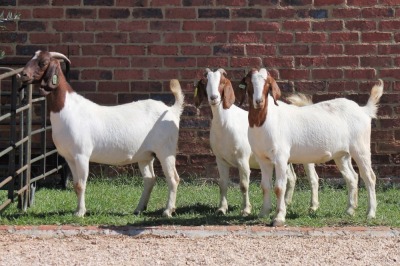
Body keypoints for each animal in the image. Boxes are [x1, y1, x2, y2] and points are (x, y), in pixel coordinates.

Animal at [20, 50, 184, 216]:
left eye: (43, 62)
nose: (23, 74)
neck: (67, 108)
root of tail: (171, 110)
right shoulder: (69, 157)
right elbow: (75, 184)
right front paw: (77, 210)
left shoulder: (82, 155)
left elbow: (81, 184)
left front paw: (80, 212)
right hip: (146, 155)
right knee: (150, 179)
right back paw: (139, 209)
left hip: (166, 150)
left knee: (173, 178)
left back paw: (168, 210)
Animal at [194, 67, 318, 215]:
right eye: (204, 82)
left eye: (222, 82)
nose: (214, 98)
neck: (225, 123)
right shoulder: (220, 159)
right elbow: (222, 184)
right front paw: (222, 209)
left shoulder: (242, 158)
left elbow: (244, 185)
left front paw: (246, 209)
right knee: (292, 178)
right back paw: (286, 203)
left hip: (307, 155)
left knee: (313, 178)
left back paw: (313, 207)